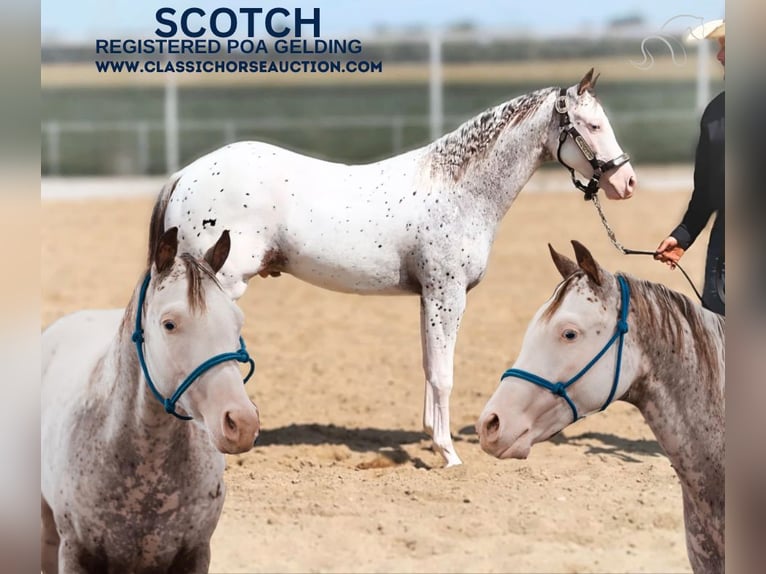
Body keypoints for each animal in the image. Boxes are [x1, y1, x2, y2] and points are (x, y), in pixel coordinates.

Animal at [154, 71, 636, 468]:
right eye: (592, 126)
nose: (625, 182)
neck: (459, 190)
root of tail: (185, 175)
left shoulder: (429, 297)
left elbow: (428, 367)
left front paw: (434, 440)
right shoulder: (447, 294)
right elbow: (443, 374)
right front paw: (449, 455)